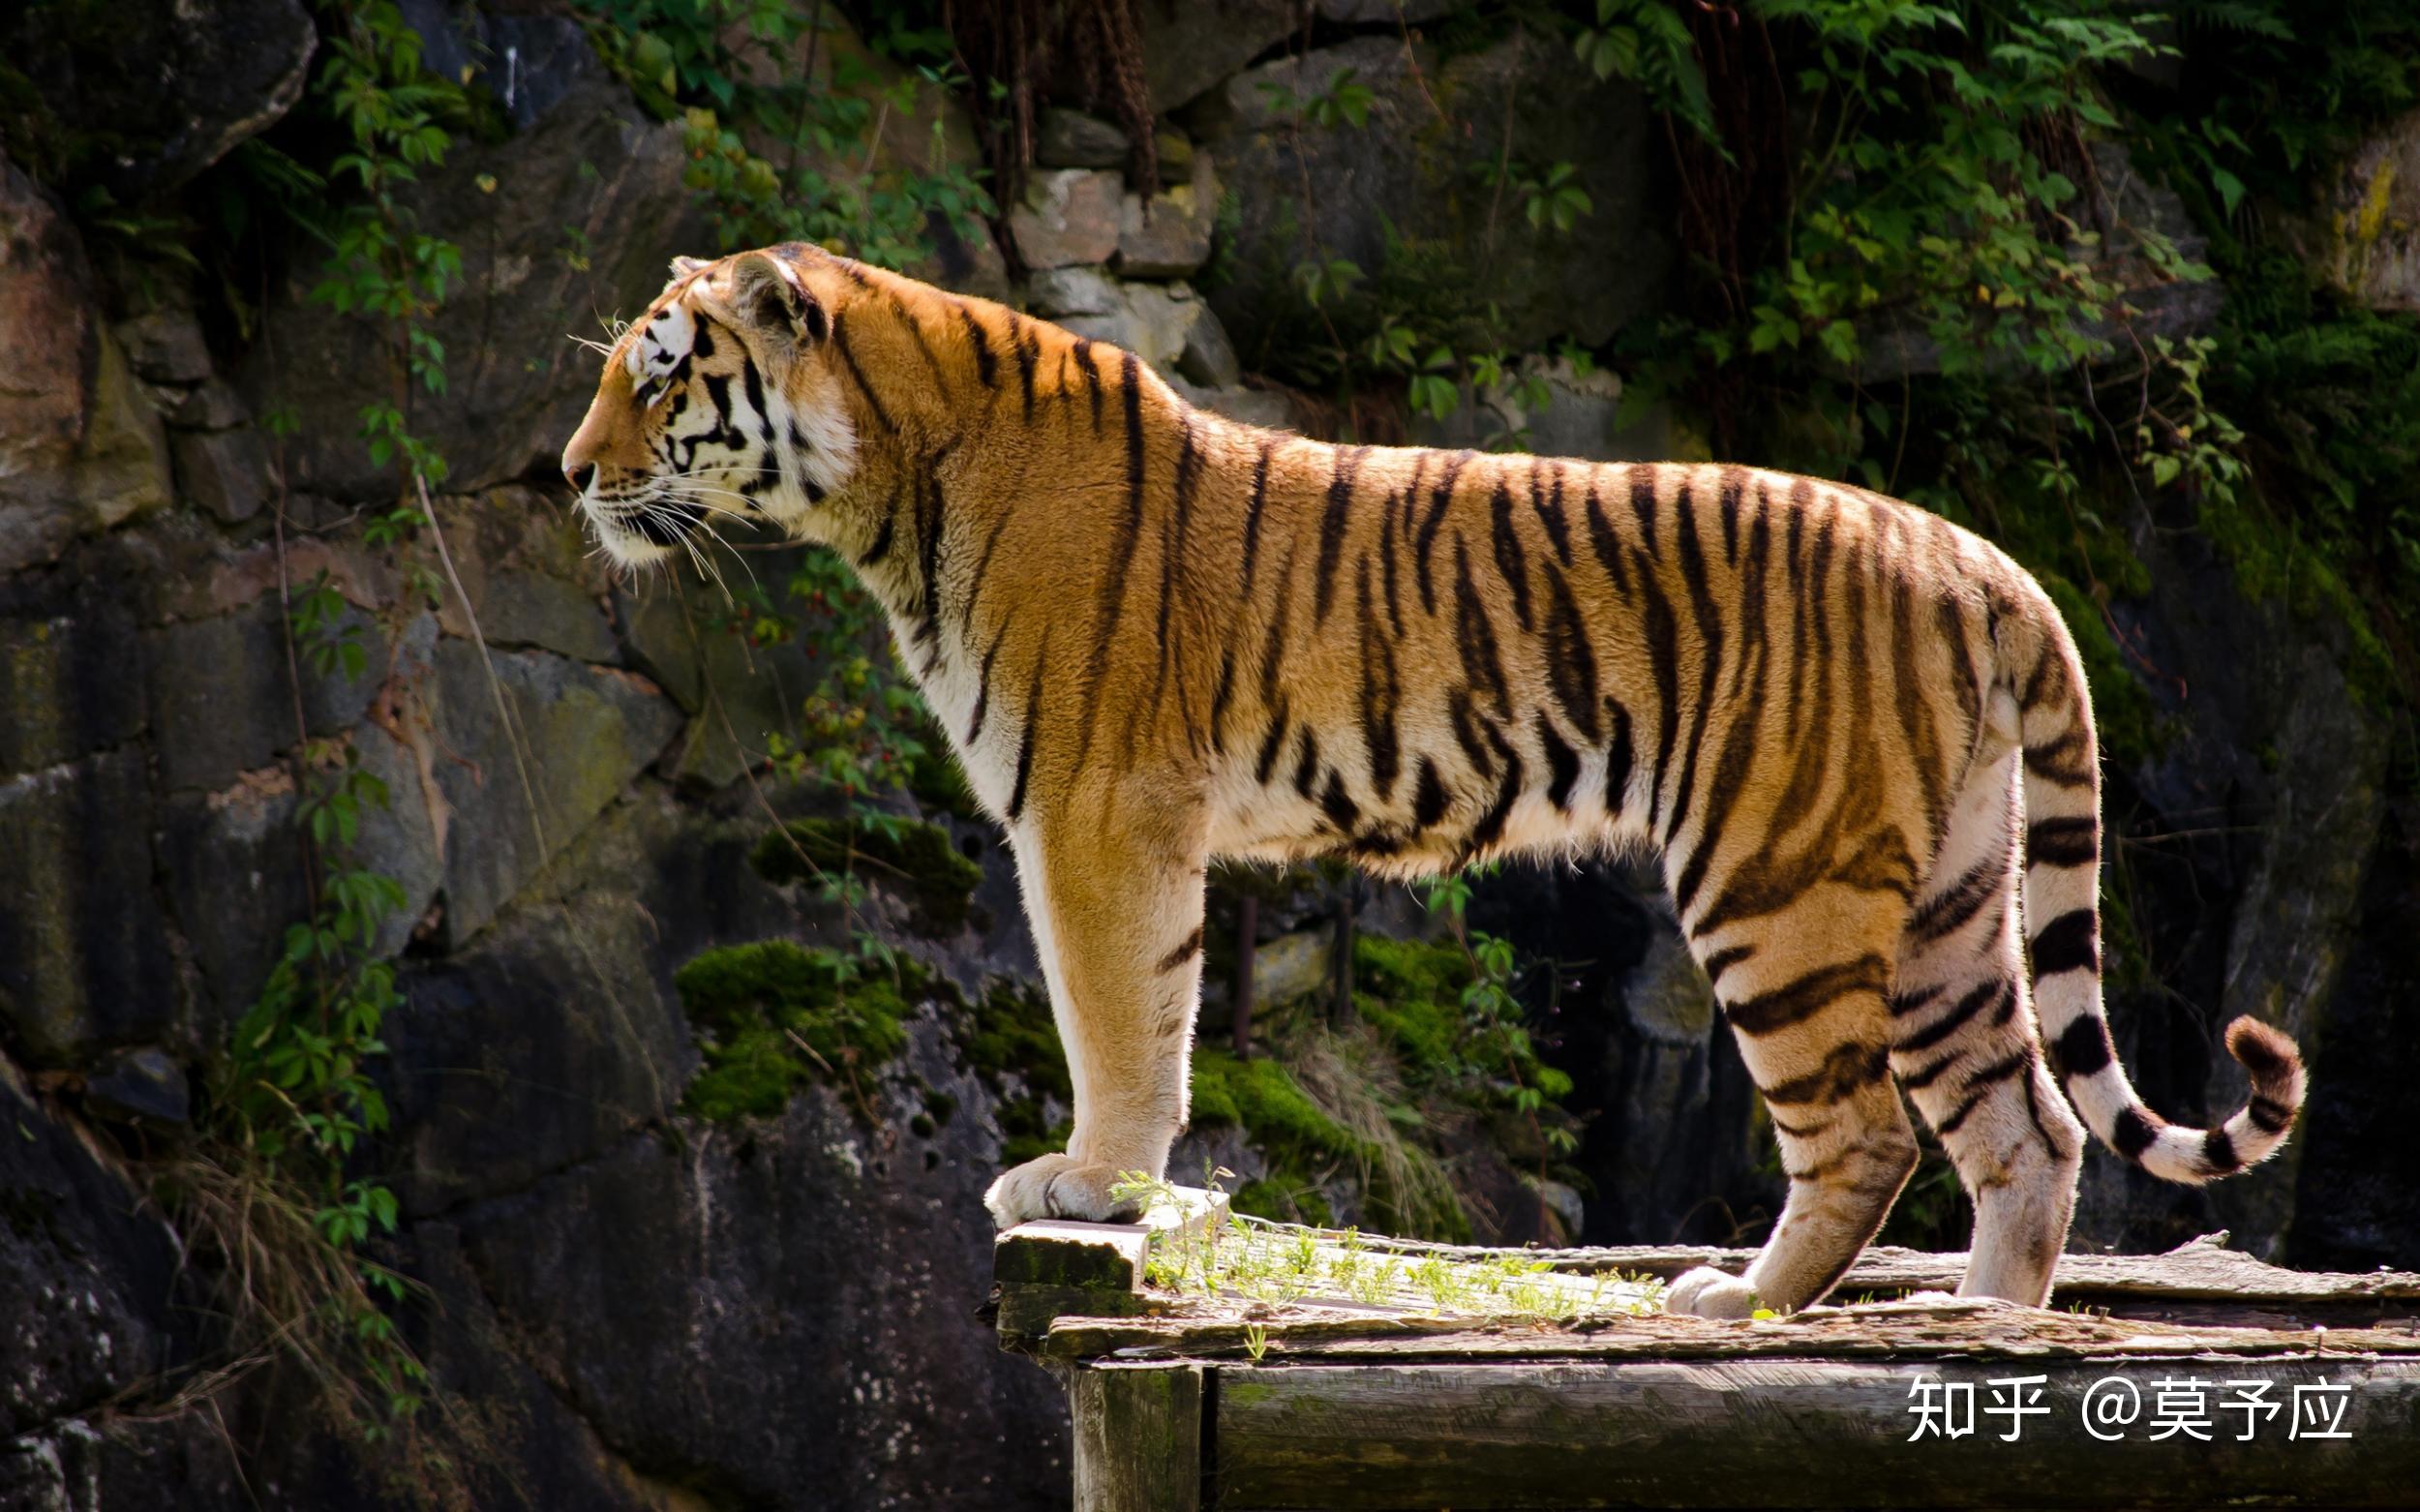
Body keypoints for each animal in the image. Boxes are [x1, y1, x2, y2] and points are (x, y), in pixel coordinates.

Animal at [561, 244, 2304, 1306]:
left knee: (1873, 1132)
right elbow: (1156, 1008)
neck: (889, 488)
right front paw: (1113, 1179)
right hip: (1948, 893)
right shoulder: (1118, 816)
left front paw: (1089, 1182)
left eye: (658, 377)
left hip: (1780, 879)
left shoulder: (1096, 809)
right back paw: (1986, 1323)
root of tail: (1979, 558)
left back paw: (1740, 1302)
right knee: (2032, 1129)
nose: (570, 473)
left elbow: (1120, 1014)